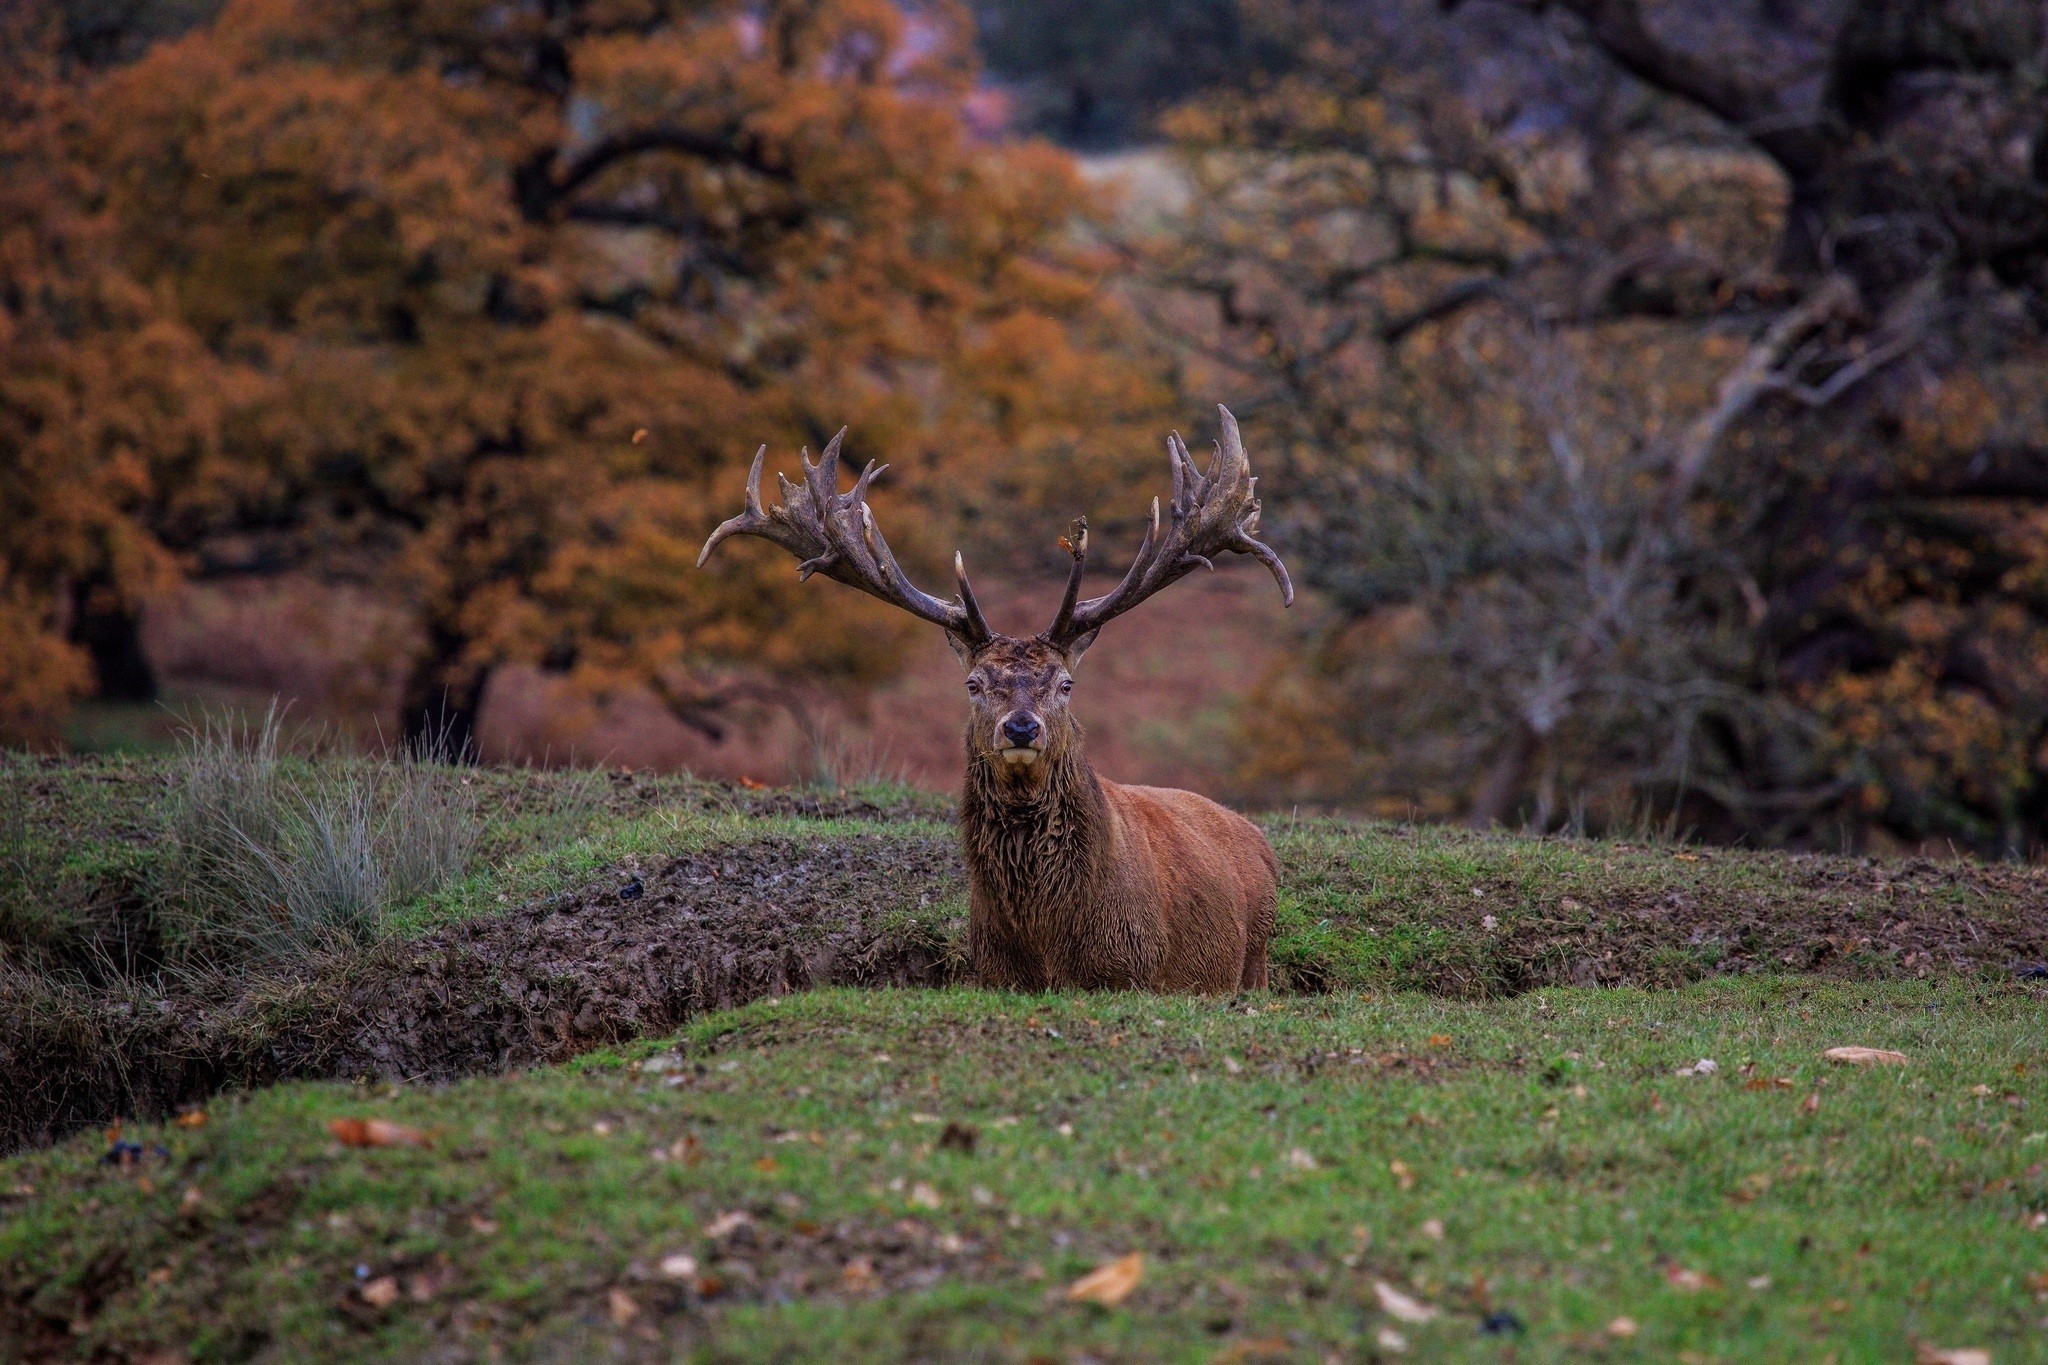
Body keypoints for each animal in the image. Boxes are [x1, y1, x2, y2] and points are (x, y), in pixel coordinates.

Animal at [697, 406, 1292, 992]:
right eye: (974, 684)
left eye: (1065, 683)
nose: (1022, 727)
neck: (1046, 944)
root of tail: (1258, 838)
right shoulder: (991, 972)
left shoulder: (1136, 973)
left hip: (1257, 957)